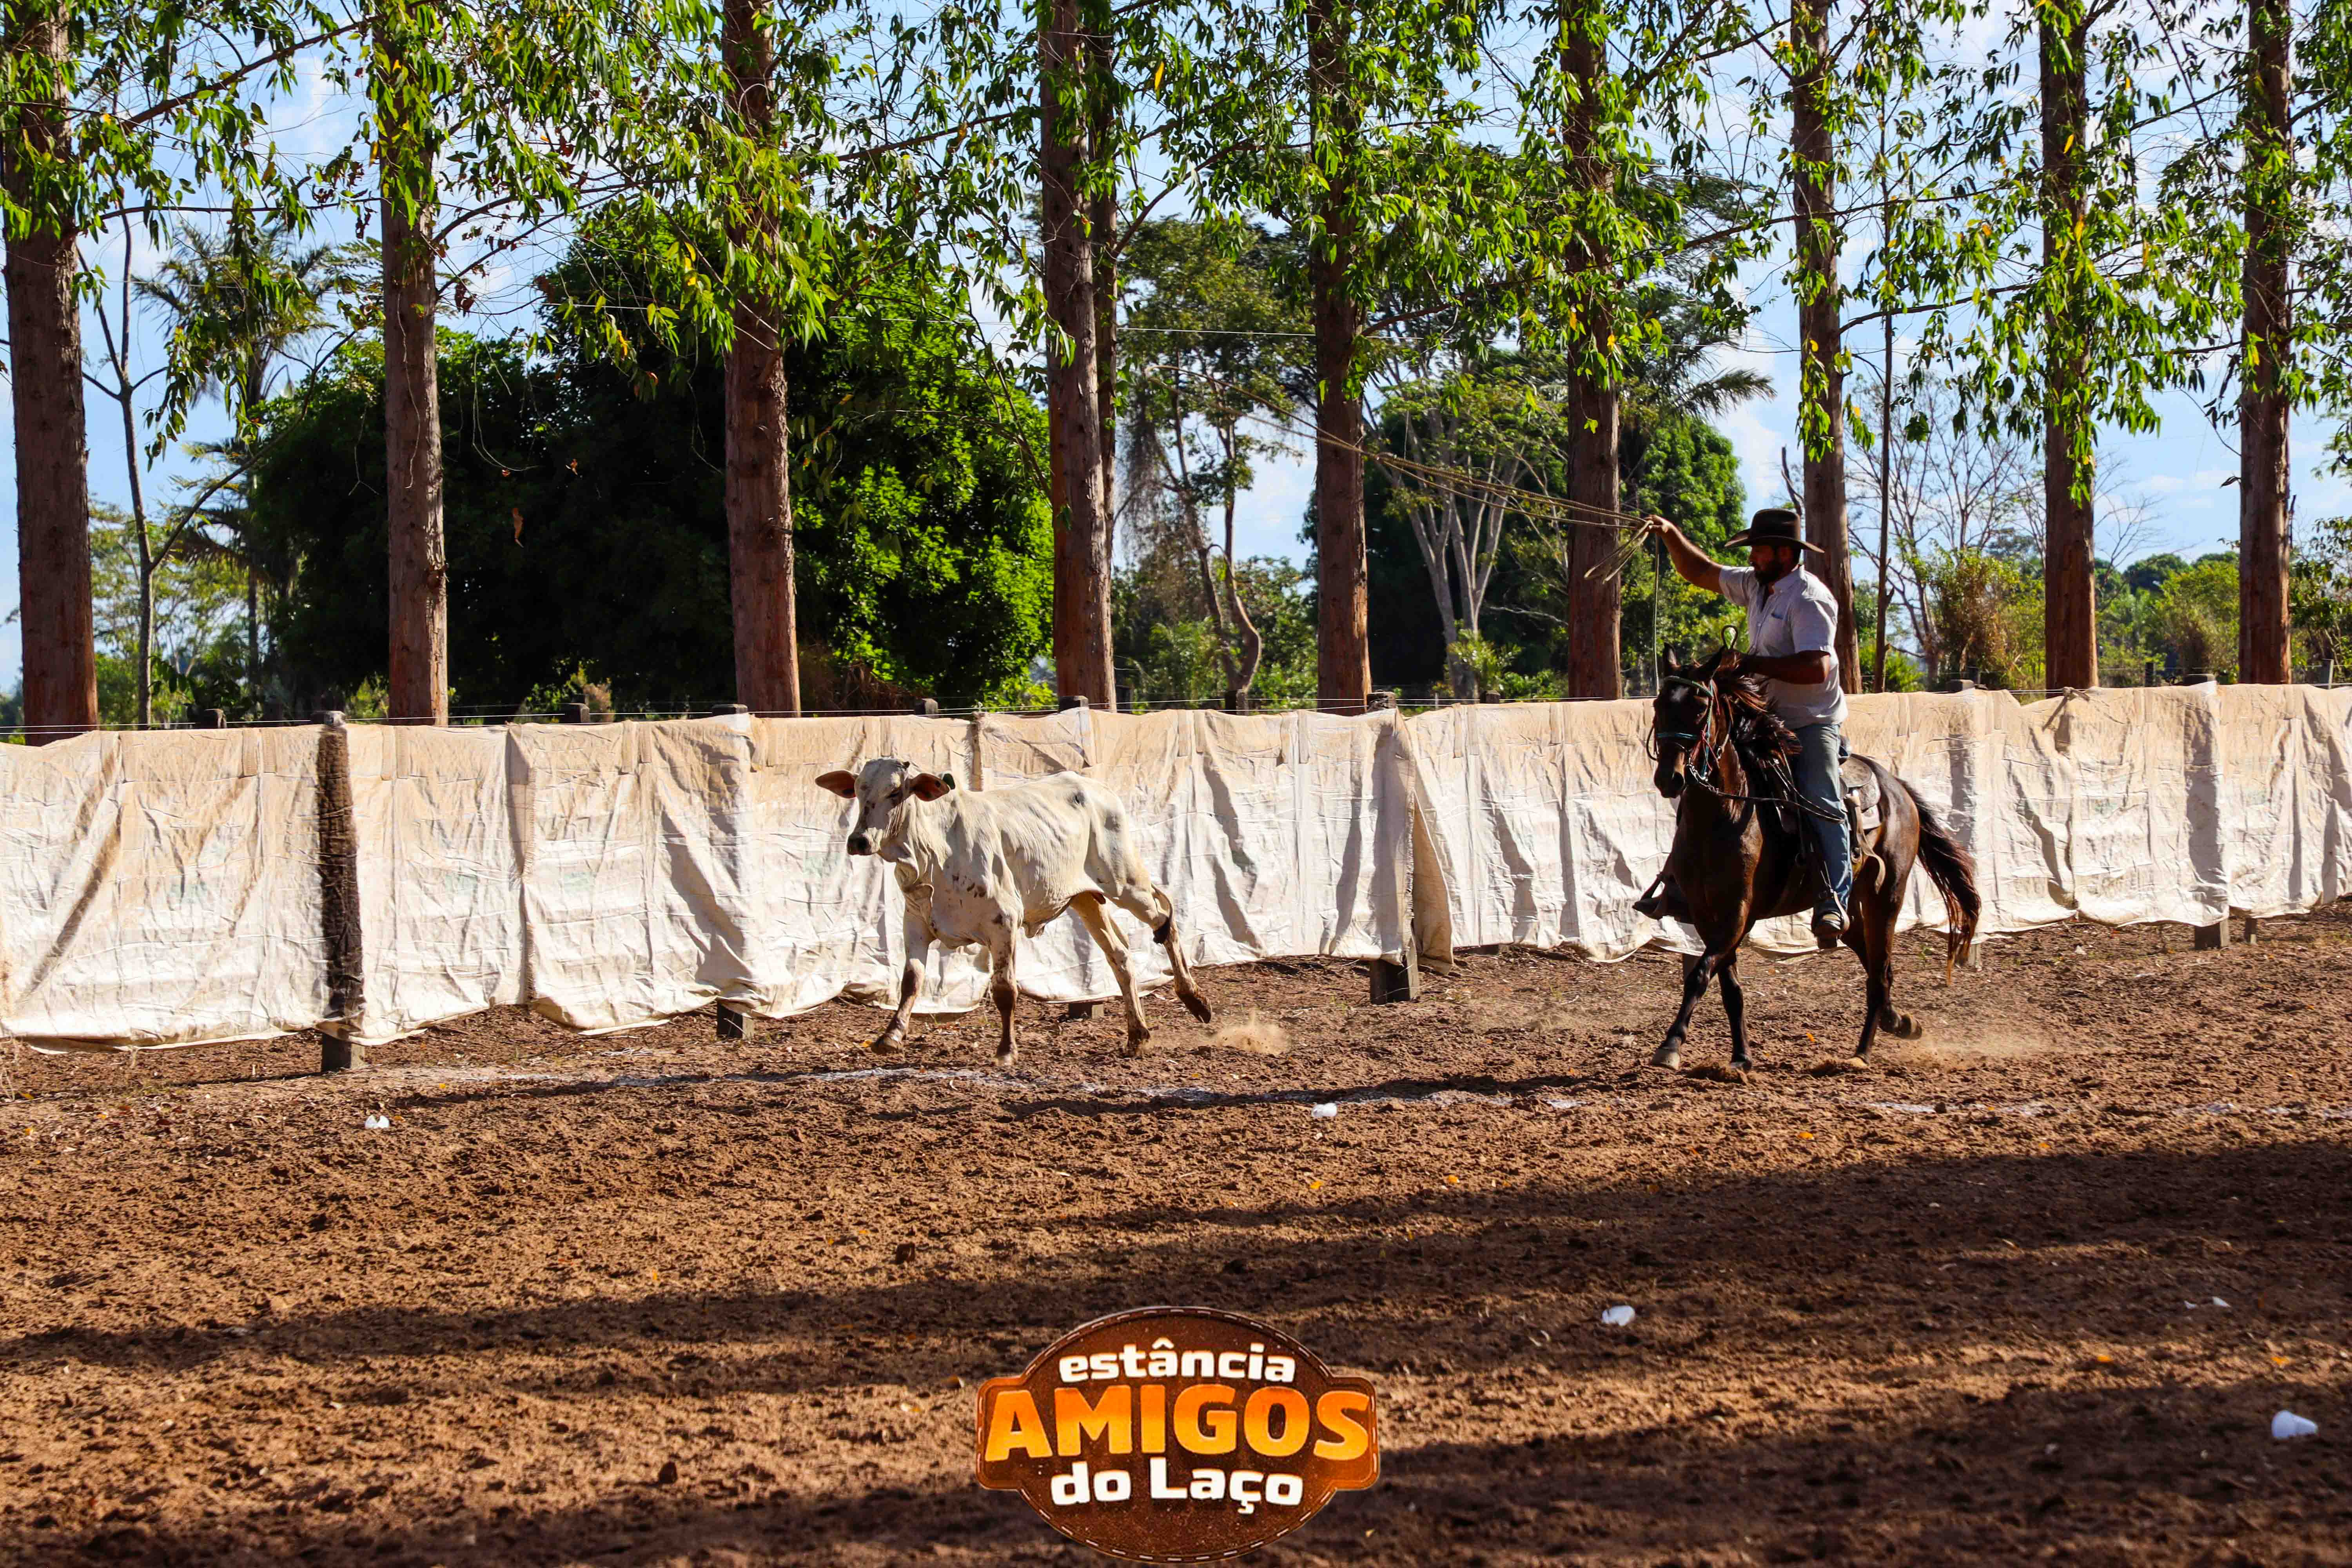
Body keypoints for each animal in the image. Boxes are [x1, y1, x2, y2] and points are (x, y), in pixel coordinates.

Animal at [1644, 649, 1981, 1071]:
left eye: (1701, 707)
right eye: (1659, 705)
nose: (1669, 778)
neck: (1725, 814)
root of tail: (1896, 787)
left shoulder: (1738, 913)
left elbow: (1702, 974)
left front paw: (1671, 1045)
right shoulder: (1707, 915)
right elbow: (1730, 987)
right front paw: (1740, 1059)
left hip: (1887, 894)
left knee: (1880, 970)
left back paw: (1862, 1053)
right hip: (1848, 907)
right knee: (1872, 959)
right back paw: (1899, 1021)